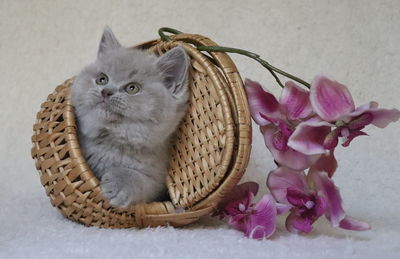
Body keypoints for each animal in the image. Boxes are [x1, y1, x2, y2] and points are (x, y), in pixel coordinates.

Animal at [70, 27, 191, 208]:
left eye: (132, 88)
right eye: (102, 79)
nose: (106, 91)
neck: (111, 142)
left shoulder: (157, 181)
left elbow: (142, 181)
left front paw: (120, 183)